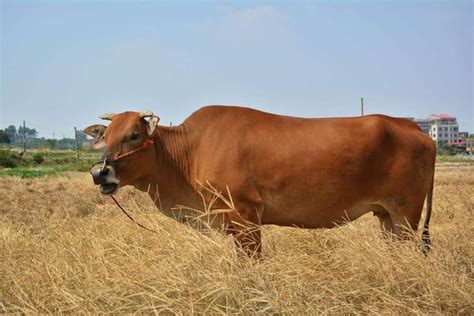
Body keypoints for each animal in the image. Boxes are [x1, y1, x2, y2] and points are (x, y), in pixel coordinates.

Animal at [83, 106, 436, 256]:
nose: (100, 173)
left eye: (134, 134)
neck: (191, 150)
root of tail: (413, 126)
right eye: (105, 136)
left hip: (406, 216)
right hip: (387, 218)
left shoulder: (246, 215)